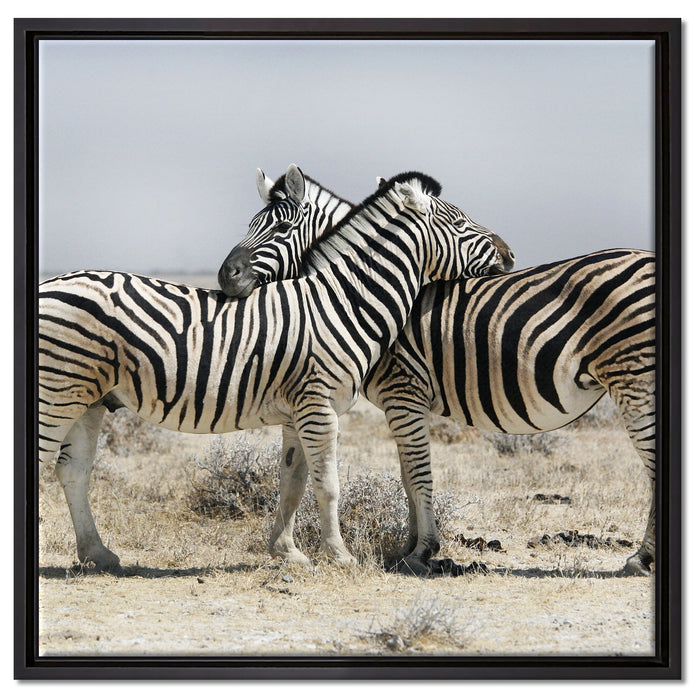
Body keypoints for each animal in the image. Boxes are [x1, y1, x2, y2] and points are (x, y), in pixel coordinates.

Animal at [39, 168, 511, 572]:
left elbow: (293, 481)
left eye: (281, 228)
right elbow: (327, 484)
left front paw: (287, 552)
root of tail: (49, 283)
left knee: (73, 472)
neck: (341, 302)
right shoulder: (320, 407)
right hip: (56, 393)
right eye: (461, 223)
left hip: (88, 399)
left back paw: (98, 554)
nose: (509, 254)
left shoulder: (298, 410)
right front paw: (340, 556)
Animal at [218, 170, 655, 577]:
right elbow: (407, 475)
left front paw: (422, 551)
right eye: (252, 224)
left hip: (633, 378)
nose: (226, 276)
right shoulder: (402, 404)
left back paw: (641, 558)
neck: (355, 295)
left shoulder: (403, 392)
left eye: (280, 228)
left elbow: (418, 473)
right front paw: (409, 547)